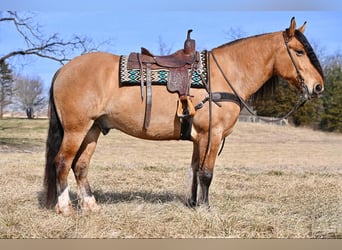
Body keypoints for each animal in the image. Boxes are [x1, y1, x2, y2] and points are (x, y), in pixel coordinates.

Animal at [44, 17, 324, 215]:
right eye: (299, 51)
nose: (318, 87)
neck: (224, 75)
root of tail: (63, 69)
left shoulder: (199, 137)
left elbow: (194, 170)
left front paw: (192, 204)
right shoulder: (212, 134)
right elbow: (206, 173)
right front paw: (206, 208)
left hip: (92, 129)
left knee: (81, 166)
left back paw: (91, 206)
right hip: (76, 129)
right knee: (62, 162)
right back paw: (65, 208)